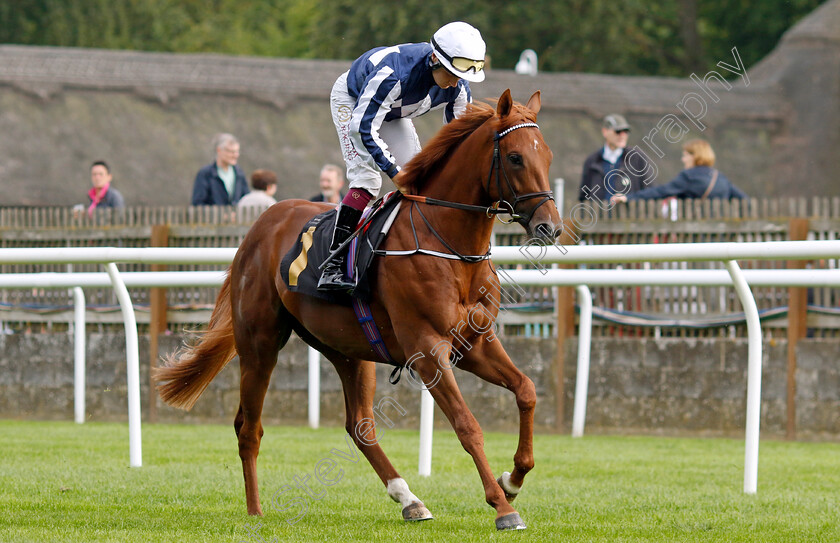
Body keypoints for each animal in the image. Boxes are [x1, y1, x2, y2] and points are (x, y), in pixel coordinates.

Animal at [156, 89, 564, 532]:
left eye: (548, 156)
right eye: (515, 158)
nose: (550, 227)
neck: (451, 248)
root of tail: (260, 225)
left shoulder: (475, 343)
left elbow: (526, 389)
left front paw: (513, 479)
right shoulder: (427, 348)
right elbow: (467, 425)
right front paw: (503, 507)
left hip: (349, 350)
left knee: (360, 426)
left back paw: (409, 499)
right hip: (259, 344)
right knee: (250, 429)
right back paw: (255, 510)